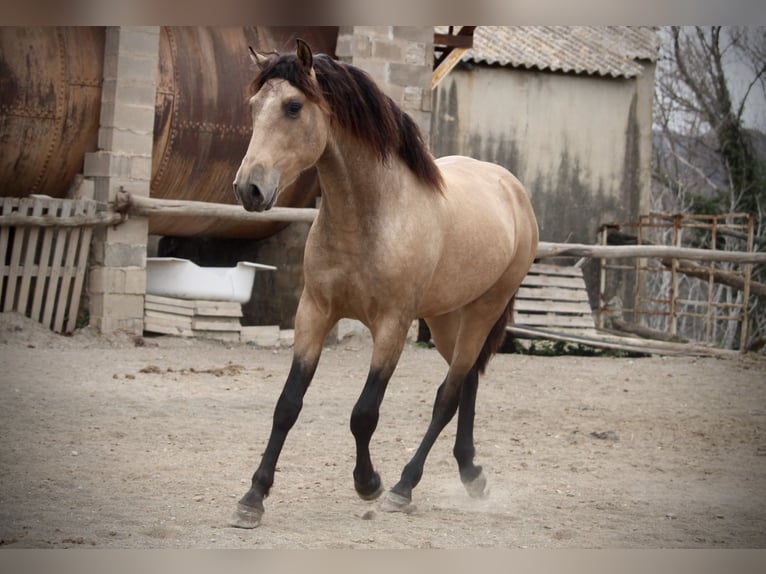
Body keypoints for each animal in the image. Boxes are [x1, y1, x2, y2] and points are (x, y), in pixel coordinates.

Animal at [231, 38, 536, 528]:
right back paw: (471, 473)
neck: (370, 217)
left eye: (293, 107)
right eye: (255, 105)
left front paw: (368, 483)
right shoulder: (313, 313)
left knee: (448, 395)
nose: (249, 189)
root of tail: (512, 189)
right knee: (467, 380)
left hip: (483, 310)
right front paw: (253, 497)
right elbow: (287, 405)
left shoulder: (393, 326)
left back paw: (403, 486)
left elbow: (364, 414)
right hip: (447, 319)